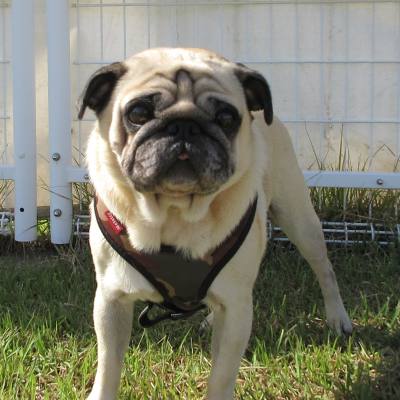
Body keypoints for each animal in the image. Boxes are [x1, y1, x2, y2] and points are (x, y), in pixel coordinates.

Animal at [77, 47, 352, 400]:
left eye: (225, 119)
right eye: (138, 113)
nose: (184, 126)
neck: (175, 214)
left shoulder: (236, 312)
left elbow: (221, 377)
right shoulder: (111, 300)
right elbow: (108, 369)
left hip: (299, 220)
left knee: (324, 269)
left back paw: (337, 318)